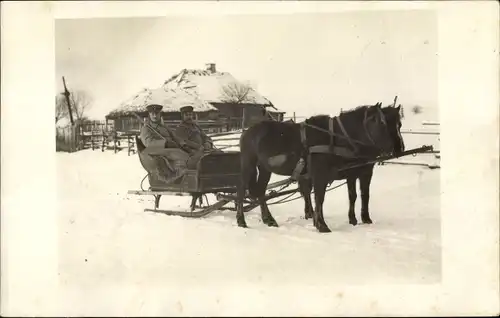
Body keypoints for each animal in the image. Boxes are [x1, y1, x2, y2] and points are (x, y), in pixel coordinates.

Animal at [234, 103, 402, 232]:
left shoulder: (355, 172)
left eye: (399, 124)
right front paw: (321, 225)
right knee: (241, 190)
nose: (398, 148)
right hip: (248, 164)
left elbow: (356, 195)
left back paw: (269, 220)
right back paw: (241, 220)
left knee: (261, 191)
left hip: (264, 168)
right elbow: (320, 198)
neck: (336, 137)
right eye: (381, 122)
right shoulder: (322, 174)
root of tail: (247, 132)